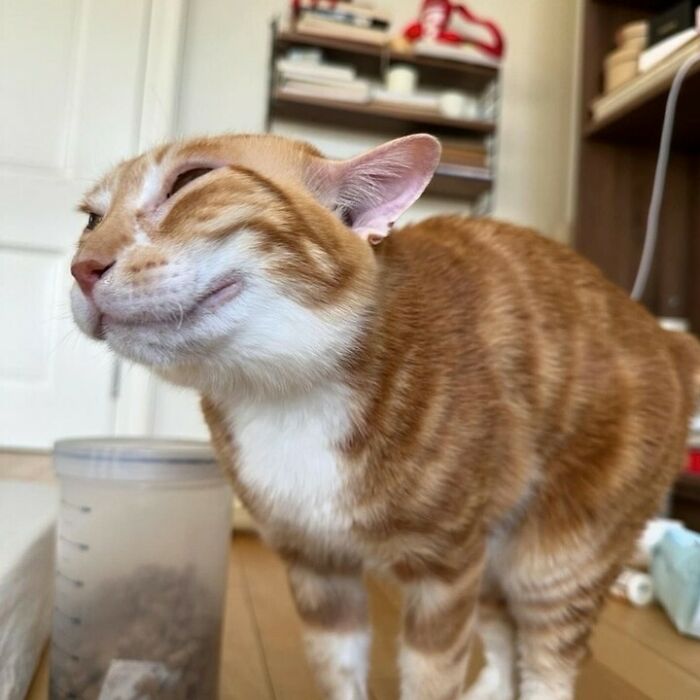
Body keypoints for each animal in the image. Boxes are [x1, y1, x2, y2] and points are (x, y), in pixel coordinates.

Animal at [70, 133, 700, 700]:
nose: (80, 267)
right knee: (502, 642)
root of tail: (664, 335)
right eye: (90, 218)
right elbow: (339, 670)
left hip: (554, 560)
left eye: (190, 179)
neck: (282, 396)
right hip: (493, 559)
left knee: (547, 662)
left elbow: (431, 676)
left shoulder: (446, 571)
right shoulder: (316, 568)